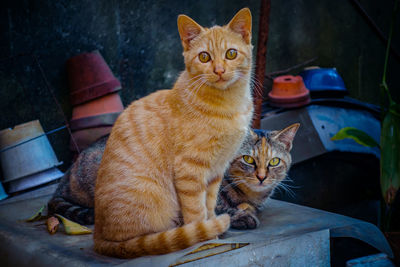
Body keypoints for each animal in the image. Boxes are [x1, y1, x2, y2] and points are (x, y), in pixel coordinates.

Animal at [94, 7, 253, 260]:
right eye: (204, 57)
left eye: (231, 54)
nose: (219, 70)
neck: (228, 104)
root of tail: (97, 235)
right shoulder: (190, 169)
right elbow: (196, 211)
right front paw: (206, 238)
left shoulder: (217, 170)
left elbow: (209, 203)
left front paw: (212, 228)